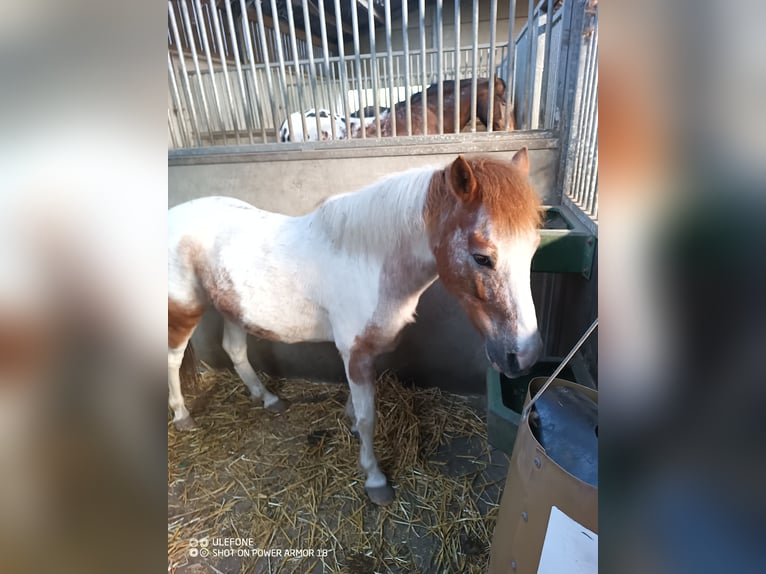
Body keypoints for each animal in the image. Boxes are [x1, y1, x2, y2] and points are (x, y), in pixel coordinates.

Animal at [168, 150, 544, 508]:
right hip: (184, 311)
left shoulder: (360, 353)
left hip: (234, 309)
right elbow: (368, 418)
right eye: (482, 257)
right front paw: (375, 479)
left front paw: (349, 426)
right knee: (174, 359)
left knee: (234, 349)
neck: (371, 260)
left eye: (533, 250)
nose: (524, 356)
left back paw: (268, 398)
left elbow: (356, 408)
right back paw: (183, 416)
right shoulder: (356, 351)